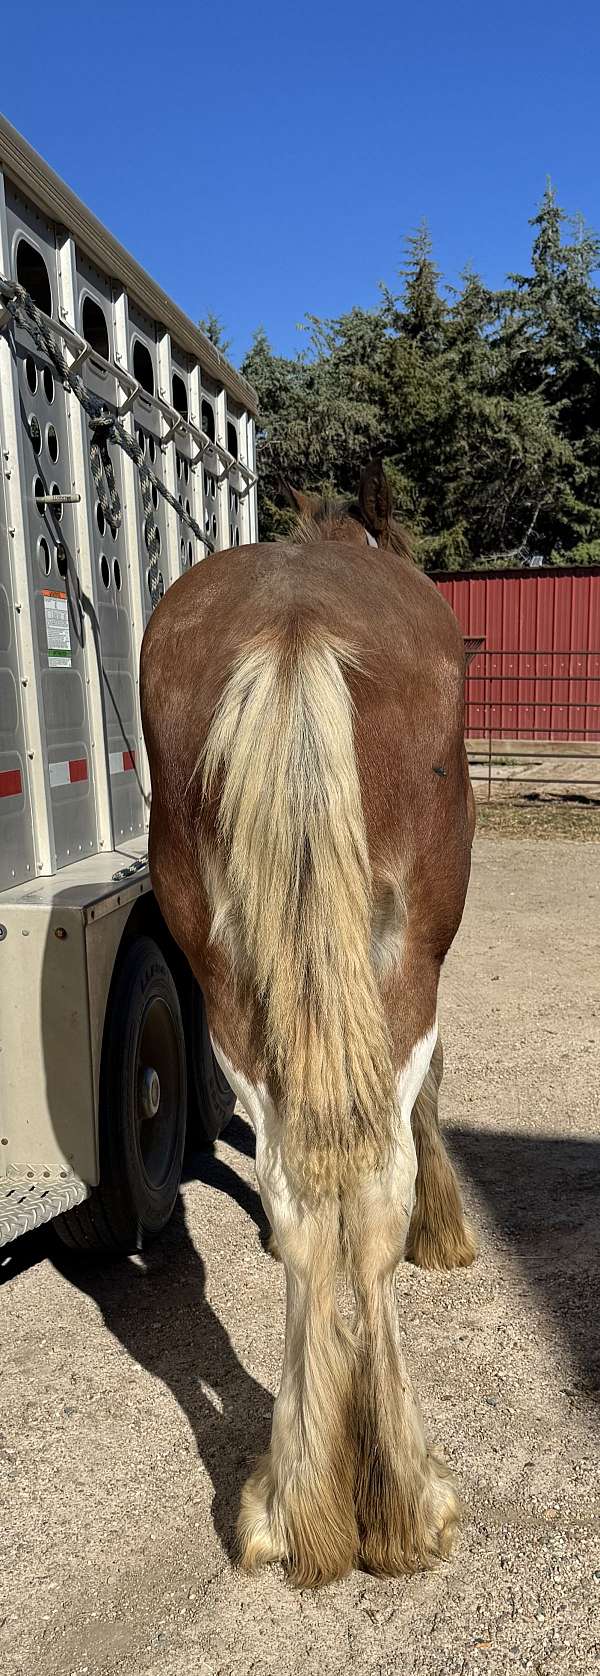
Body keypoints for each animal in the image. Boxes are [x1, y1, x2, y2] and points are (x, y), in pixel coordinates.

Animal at [140, 457, 477, 1587]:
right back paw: (399, 1502)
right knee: (366, 1195)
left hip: (232, 986)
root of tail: (291, 629)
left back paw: (293, 1506)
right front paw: (446, 1232)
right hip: (400, 959)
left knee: (296, 1199)